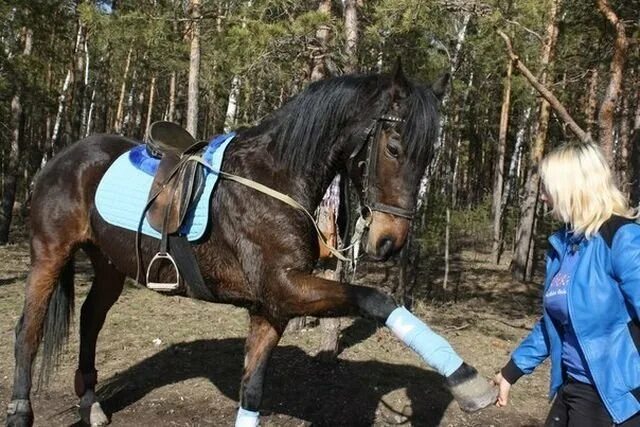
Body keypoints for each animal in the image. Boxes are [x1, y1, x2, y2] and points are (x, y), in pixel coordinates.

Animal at [6, 64, 496, 427]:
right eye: (394, 147)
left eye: (430, 156)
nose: (390, 242)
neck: (275, 179)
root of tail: (63, 157)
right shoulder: (284, 288)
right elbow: (378, 299)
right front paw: (467, 380)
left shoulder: (272, 306)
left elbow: (253, 387)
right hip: (49, 254)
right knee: (28, 330)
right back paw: (19, 411)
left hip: (110, 263)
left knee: (90, 320)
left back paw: (91, 405)